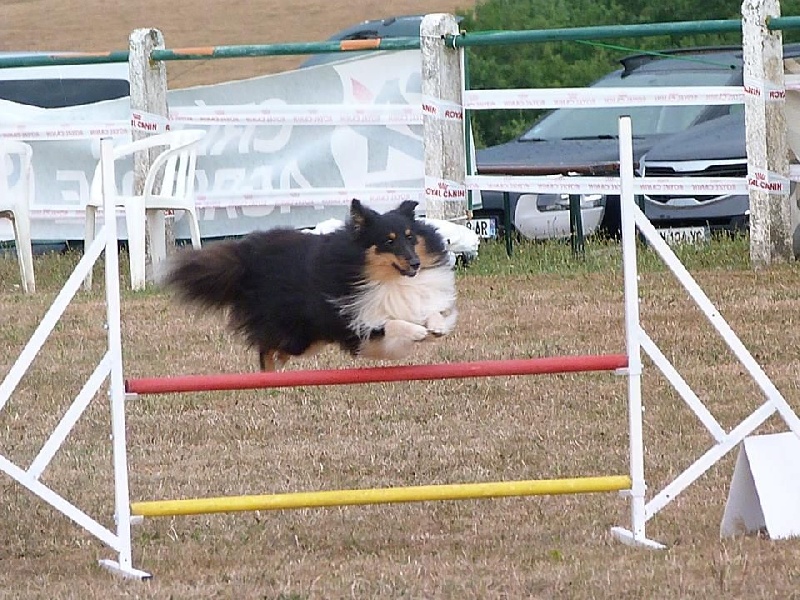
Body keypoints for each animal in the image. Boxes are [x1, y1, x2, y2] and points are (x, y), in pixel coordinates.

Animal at [164, 199, 456, 370]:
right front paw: (417, 331)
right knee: (265, 349)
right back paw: (269, 374)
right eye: (388, 241)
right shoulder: (354, 323)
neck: (387, 279)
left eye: (410, 237)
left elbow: (429, 311)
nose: (415, 263)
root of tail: (248, 258)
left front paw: (436, 326)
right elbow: (391, 322)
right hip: (294, 332)